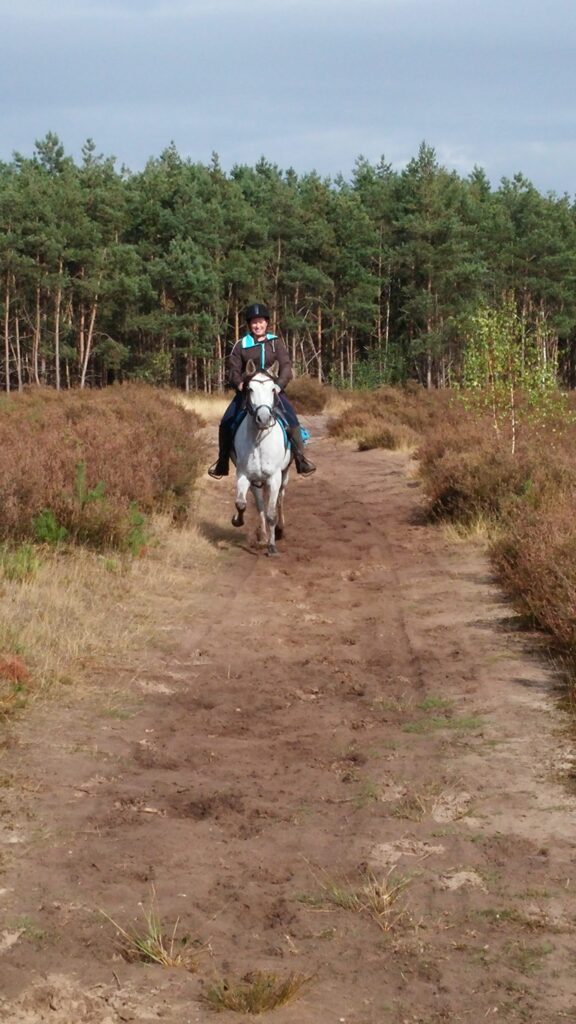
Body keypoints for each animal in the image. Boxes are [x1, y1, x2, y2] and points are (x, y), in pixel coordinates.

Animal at [230, 359, 291, 556]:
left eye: (273, 389)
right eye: (250, 389)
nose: (263, 418)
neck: (258, 440)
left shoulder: (274, 477)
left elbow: (272, 512)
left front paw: (272, 547)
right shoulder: (243, 475)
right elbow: (242, 503)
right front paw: (238, 520)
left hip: (284, 476)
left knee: (280, 499)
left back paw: (280, 529)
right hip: (257, 482)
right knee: (259, 504)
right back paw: (263, 535)